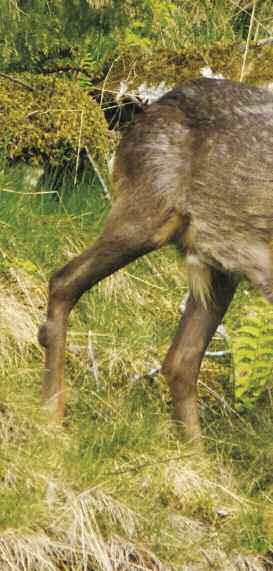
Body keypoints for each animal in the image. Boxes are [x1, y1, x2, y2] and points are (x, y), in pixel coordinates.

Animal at [38, 78, 273, 440]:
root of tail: (150, 110)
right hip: (146, 211)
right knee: (64, 280)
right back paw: (51, 413)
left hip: (218, 265)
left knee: (180, 362)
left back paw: (194, 452)